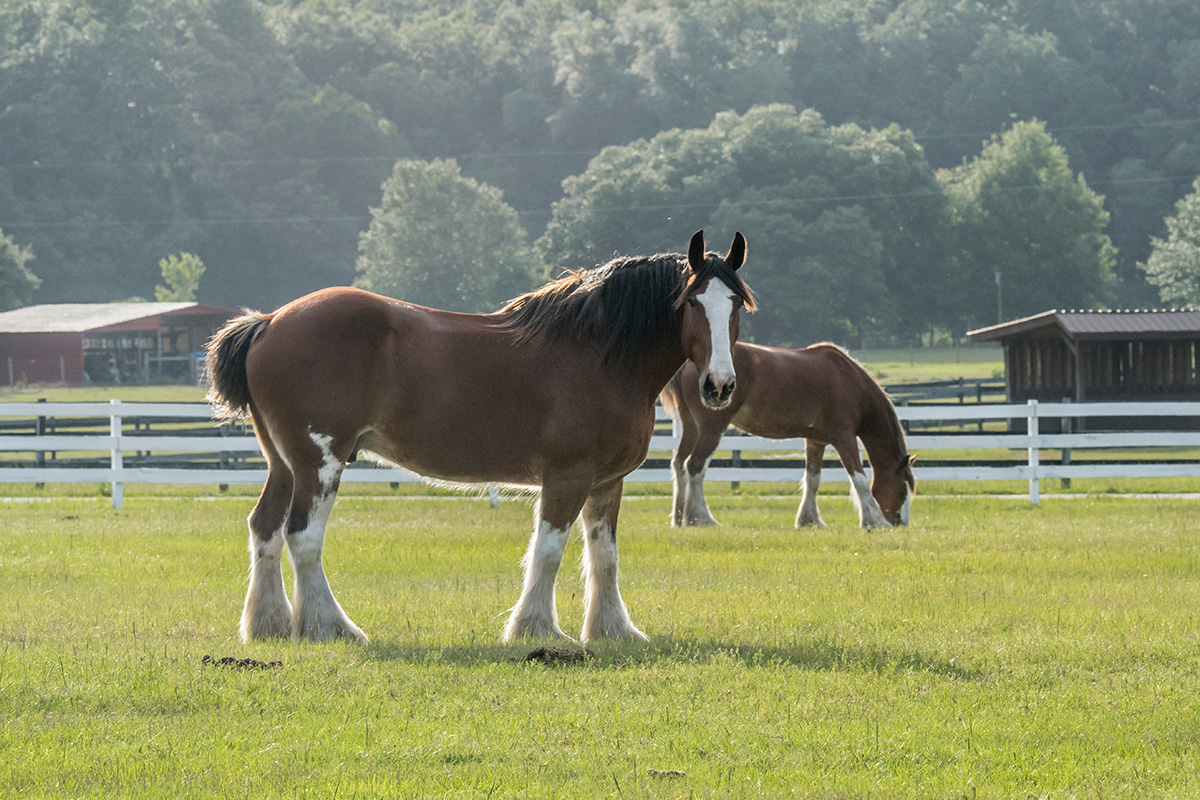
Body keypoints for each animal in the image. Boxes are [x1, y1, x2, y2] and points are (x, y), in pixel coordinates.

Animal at [205, 230, 748, 642]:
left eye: (736, 306)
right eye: (692, 302)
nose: (719, 385)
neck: (601, 355)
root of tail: (269, 322)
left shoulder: (605, 481)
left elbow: (604, 556)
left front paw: (613, 630)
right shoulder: (567, 476)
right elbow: (549, 550)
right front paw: (535, 629)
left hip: (285, 464)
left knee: (266, 529)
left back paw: (270, 625)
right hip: (320, 462)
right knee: (303, 536)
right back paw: (330, 627)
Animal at [662, 340, 912, 527]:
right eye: (902, 491)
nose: (901, 523)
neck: (850, 382)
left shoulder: (816, 441)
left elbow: (813, 479)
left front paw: (809, 521)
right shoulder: (845, 439)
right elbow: (859, 478)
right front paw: (875, 521)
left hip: (691, 427)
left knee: (679, 464)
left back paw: (680, 518)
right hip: (711, 429)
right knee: (695, 466)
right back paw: (701, 518)